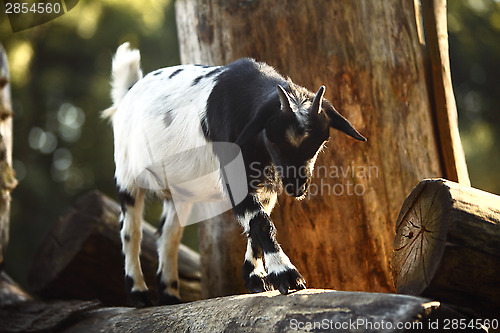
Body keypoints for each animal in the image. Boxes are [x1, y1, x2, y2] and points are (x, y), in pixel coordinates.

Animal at [103, 42, 366, 308]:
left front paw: (255, 278)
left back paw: (170, 296)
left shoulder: (266, 183)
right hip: (126, 176)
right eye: (274, 139)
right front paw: (286, 275)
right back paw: (138, 293)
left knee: (168, 234)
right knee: (130, 231)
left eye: (319, 143)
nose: (297, 187)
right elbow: (260, 221)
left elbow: (256, 223)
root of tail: (128, 93)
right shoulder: (235, 175)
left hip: (181, 193)